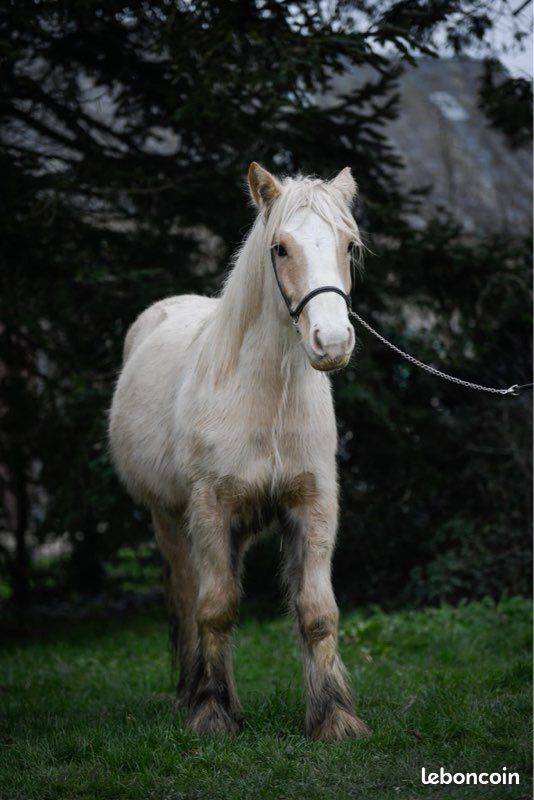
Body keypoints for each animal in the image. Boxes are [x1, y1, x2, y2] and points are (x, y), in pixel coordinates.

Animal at [108, 162, 371, 740]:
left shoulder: (313, 505)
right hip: (170, 520)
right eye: (280, 248)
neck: (265, 398)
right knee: (189, 598)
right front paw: (211, 714)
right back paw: (193, 694)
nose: (332, 342)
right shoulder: (211, 507)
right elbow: (214, 609)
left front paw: (335, 718)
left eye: (348, 245)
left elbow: (318, 613)